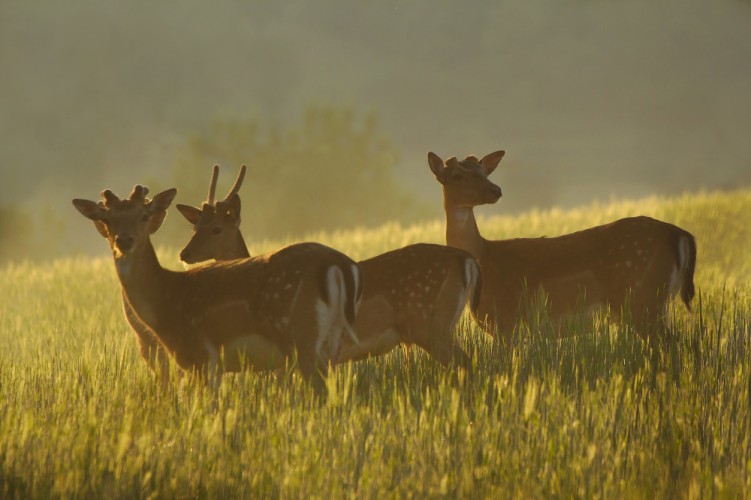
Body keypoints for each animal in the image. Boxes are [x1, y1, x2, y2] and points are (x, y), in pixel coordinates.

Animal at [72, 184, 362, 390]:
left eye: (144, 215)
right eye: (107, 219)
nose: (124, 240)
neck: (164, 298)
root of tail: (339, 263)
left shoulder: (200, 356)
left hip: (299, 334)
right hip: (332, 340)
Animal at [428, 150, 700, 342]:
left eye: (485, 172)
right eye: (457, 175)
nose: (495, 190)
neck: (483, 256)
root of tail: (680, 234)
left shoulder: (506, 321)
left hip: (643, 298)